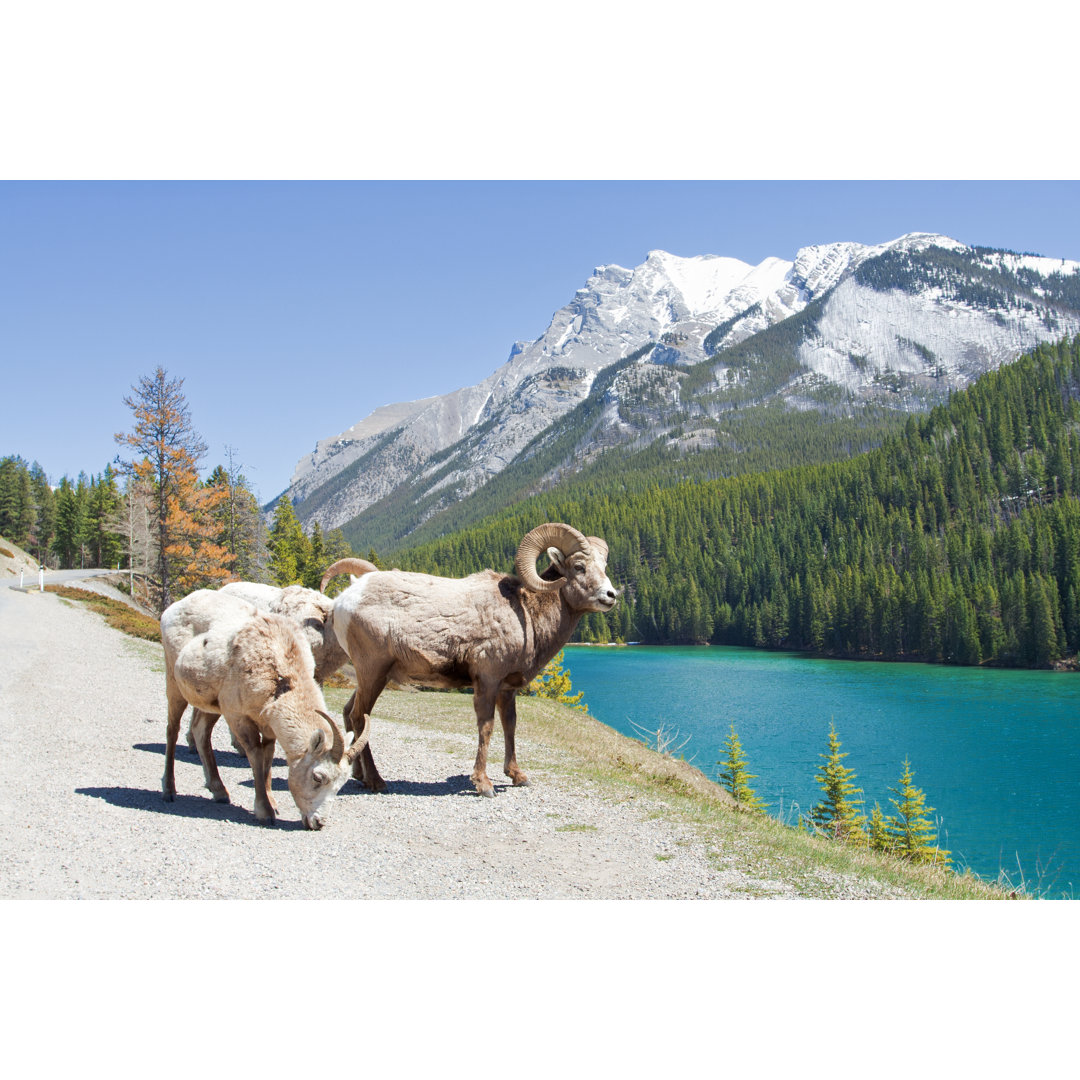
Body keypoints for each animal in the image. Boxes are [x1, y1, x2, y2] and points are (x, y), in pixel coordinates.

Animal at [157, 591, 367, 825]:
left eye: (340, 785)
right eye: (317, 777)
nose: (318, 823)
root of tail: (175, 607)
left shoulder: (267, 724)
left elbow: (267, 759)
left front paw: (273, 804)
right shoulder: (238, 717)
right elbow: (256, 758)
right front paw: (264, 811)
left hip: (211, 705)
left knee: (200, 731)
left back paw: (219, 792)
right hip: (174, 683)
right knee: (172, 730)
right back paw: (169, 790)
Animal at [319, 522, 617, 794]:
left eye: (603, 566)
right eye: (579, 566)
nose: (611, 596)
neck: (525, 614)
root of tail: (343, 601)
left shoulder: (507, 689)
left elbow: (510, 726)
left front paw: (517, 776)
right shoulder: (486, 681)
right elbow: (486, 727)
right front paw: (483, 784)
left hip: (370, 677)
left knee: (349, 713)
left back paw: (359, 775)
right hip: (373, 673)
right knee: (360, 717)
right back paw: (376, 781)